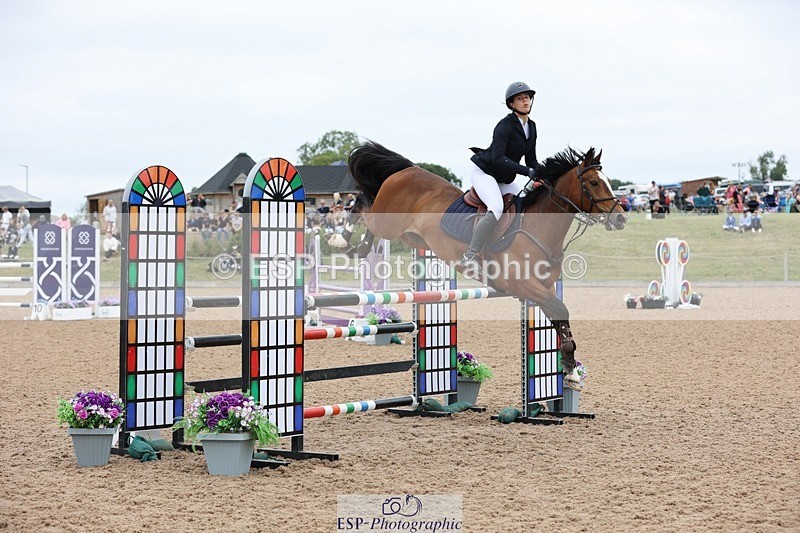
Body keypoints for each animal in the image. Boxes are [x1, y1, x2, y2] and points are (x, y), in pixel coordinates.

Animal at [336, 141, 627, 379]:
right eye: (593, 183)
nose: (621, 218)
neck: (538, 227)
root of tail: (408, 169)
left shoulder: (543, 288)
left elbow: (559, 316)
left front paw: (569, 364)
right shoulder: (525, 286)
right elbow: (561, 310)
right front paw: (569, 362)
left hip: (410, 237)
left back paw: (359, 248)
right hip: (388, 223)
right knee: (361, 204)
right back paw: (343, 241)